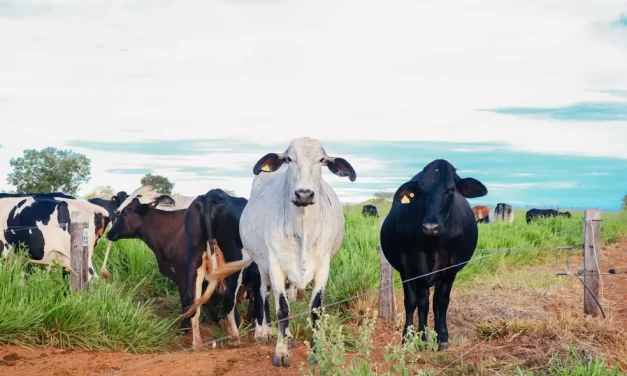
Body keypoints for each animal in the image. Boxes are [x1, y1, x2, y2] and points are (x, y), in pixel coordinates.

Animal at [105, 194, 260, 334]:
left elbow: (188, 298)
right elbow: (204, 299)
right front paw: (218, 319)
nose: (109, 233)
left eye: (125, 212)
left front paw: (184, 327)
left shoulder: (184, 274)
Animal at [182, 189, 262, 352]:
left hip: (194, 257)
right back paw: (235, 337)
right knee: (229, 297)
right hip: (235, 259)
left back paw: (197, 343)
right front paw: (261, 335)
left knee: (193, 297)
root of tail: (213, 193)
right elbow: (260, 302)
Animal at [233, 137, 358, 366]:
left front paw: (317, 353)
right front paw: (280, 352)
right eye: (289, 159)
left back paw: (289, 336)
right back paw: (265, 332)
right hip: (262, 266)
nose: (304, 194)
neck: (303, 228)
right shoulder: (275, 266)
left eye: (322, 160)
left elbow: (315, 310)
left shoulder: (323, 268)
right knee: (264, 293)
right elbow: (282, 309)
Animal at [380, 160, 488, 352]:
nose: (431, 226)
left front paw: (442, 338)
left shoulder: (451, 268)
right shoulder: (408, 268)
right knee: (423, 302)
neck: (433, 244)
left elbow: (442, 301)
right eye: (421, 190)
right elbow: (413, 302)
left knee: (435, 302)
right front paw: (410, 338)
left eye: (451, 189)